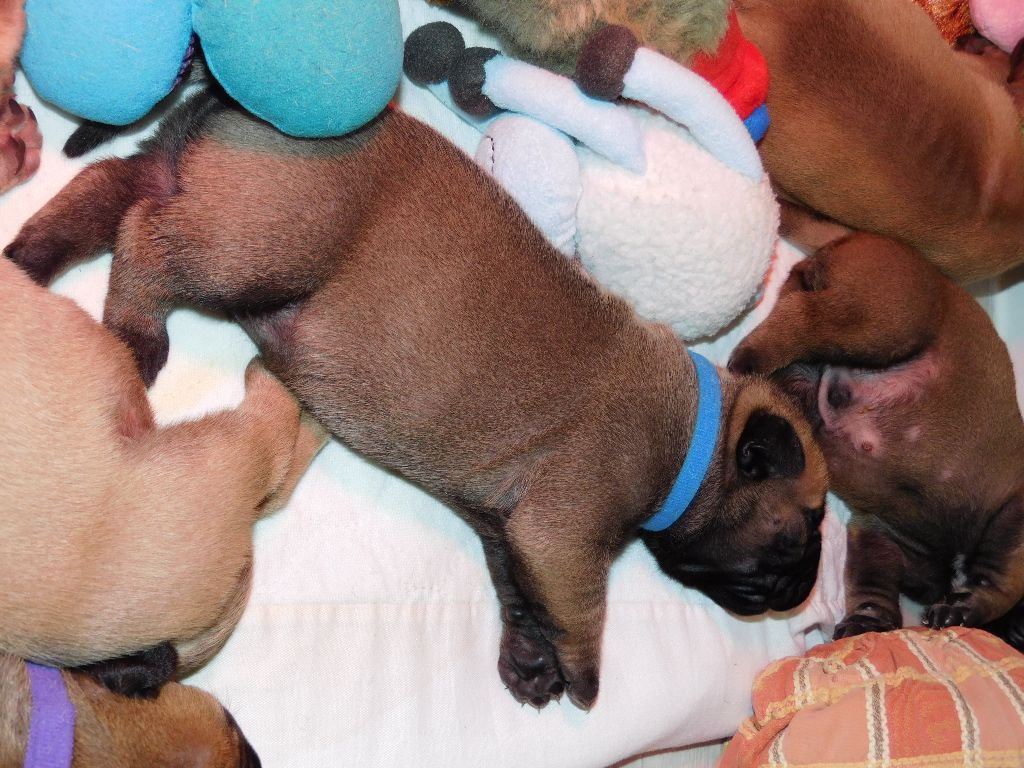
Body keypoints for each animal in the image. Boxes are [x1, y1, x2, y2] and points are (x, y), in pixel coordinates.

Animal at [728, 234, 1024, 646]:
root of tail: (848, 239)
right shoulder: (1010, 521)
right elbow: (997, 584)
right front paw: (965, 609)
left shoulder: (878, 536)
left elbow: (872, 590)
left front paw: (868, 623)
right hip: (880, 322)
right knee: (806, 319)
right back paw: (747, 359)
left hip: (818, 365)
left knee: (796, 325)